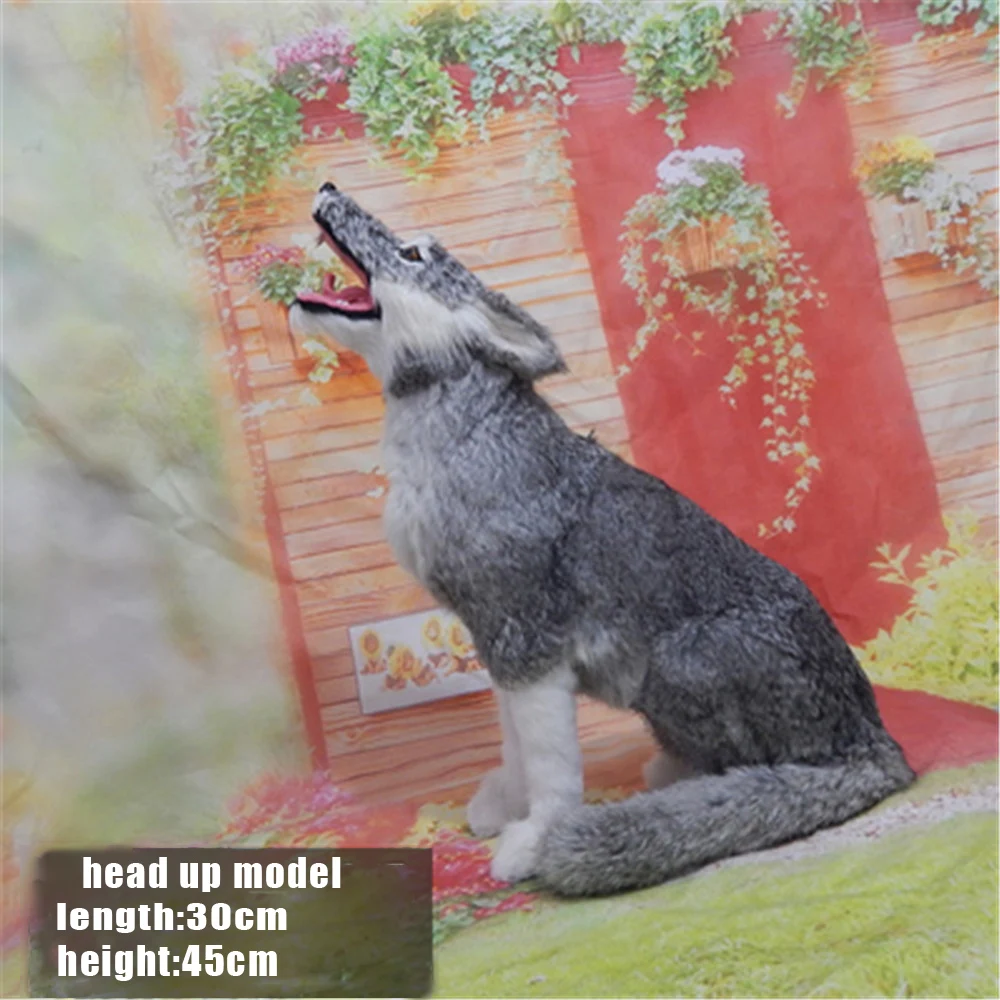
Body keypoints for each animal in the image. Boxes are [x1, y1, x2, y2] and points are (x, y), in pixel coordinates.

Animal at [290, 182, 915, 896]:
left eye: (413, 253)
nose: (327, 187)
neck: (458, 434)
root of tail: (874, 740)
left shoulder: (529, 642)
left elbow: (552, 764)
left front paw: (535, 839)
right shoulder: (497, 639)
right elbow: (515, 745)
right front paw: (507, 806)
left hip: (680, 659)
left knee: (771, 770)